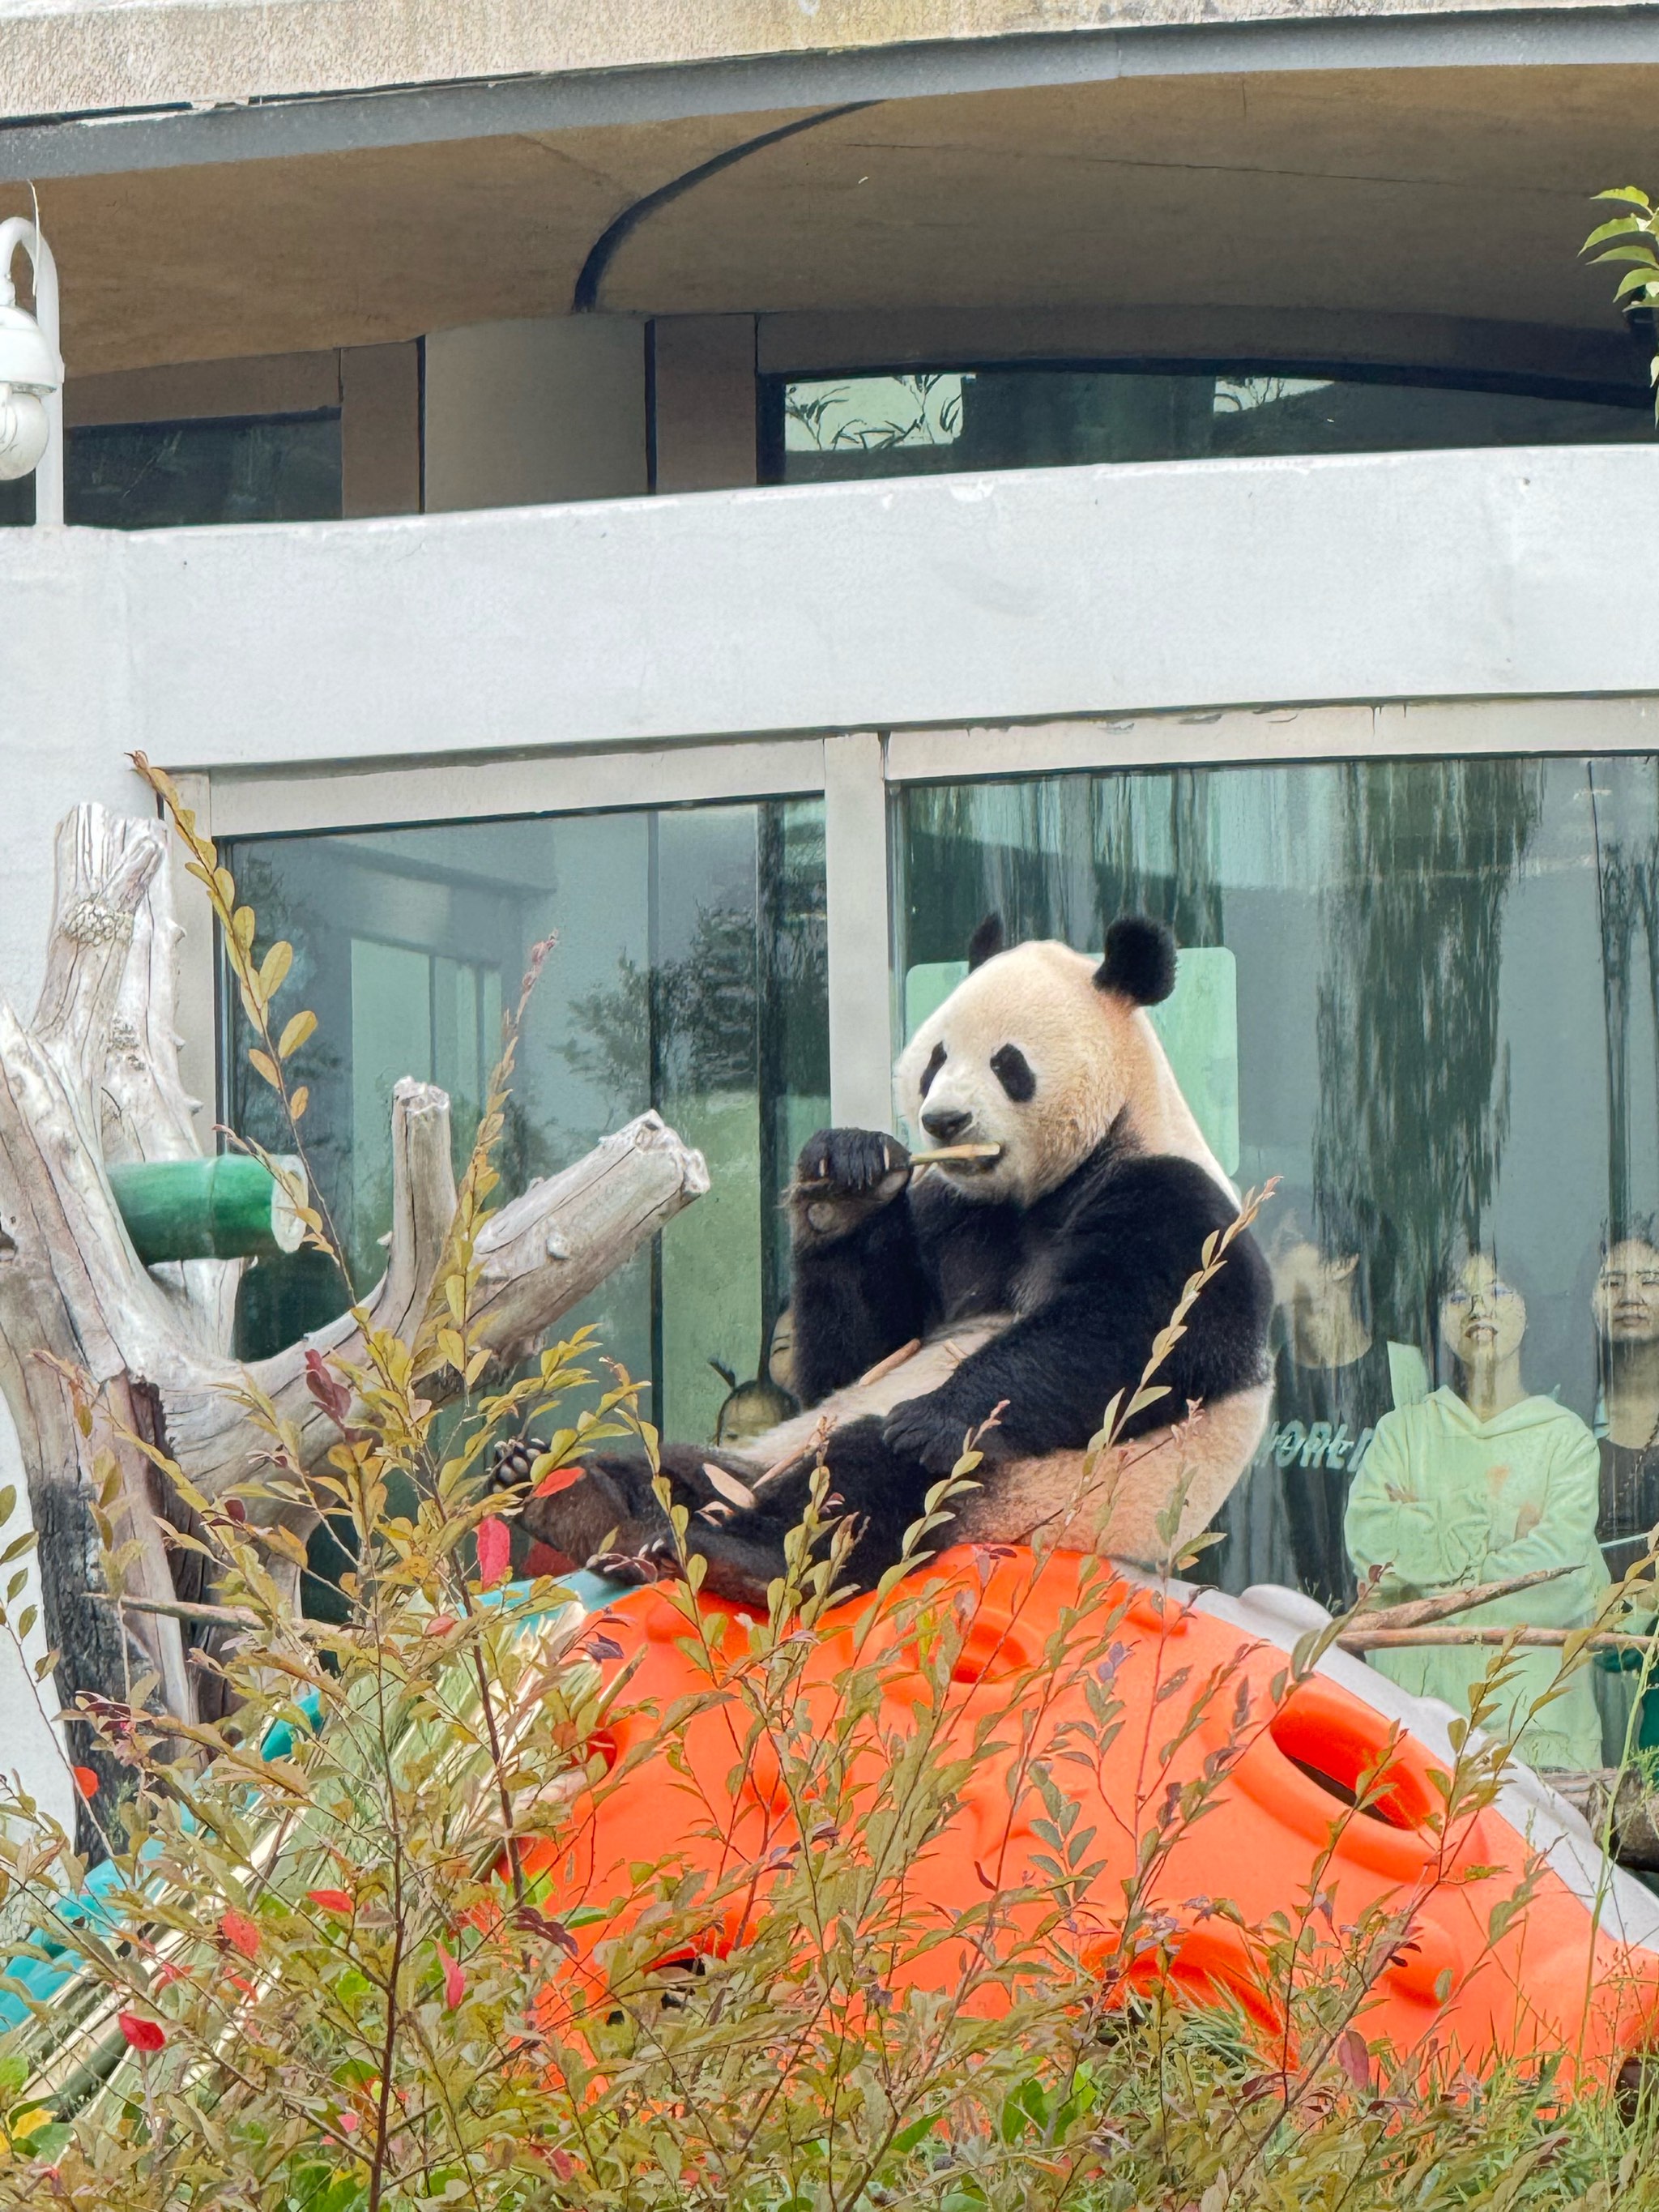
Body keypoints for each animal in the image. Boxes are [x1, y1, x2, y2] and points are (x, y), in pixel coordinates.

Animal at [506, 916, 1273, 1610]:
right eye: (936, 1058)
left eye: (1009, 1064)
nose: (944, 1122)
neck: (1037, 1188)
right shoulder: (950, 1214)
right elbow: (860, 1352)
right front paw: (845, 1178)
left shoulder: (1173, 1201)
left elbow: (1143, 1331)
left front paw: (940, 1417)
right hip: (763, 1453)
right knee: (690, 1464)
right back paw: (567, 1486)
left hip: (1034, 1490)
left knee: (871, 1482)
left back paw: (736, 1552)